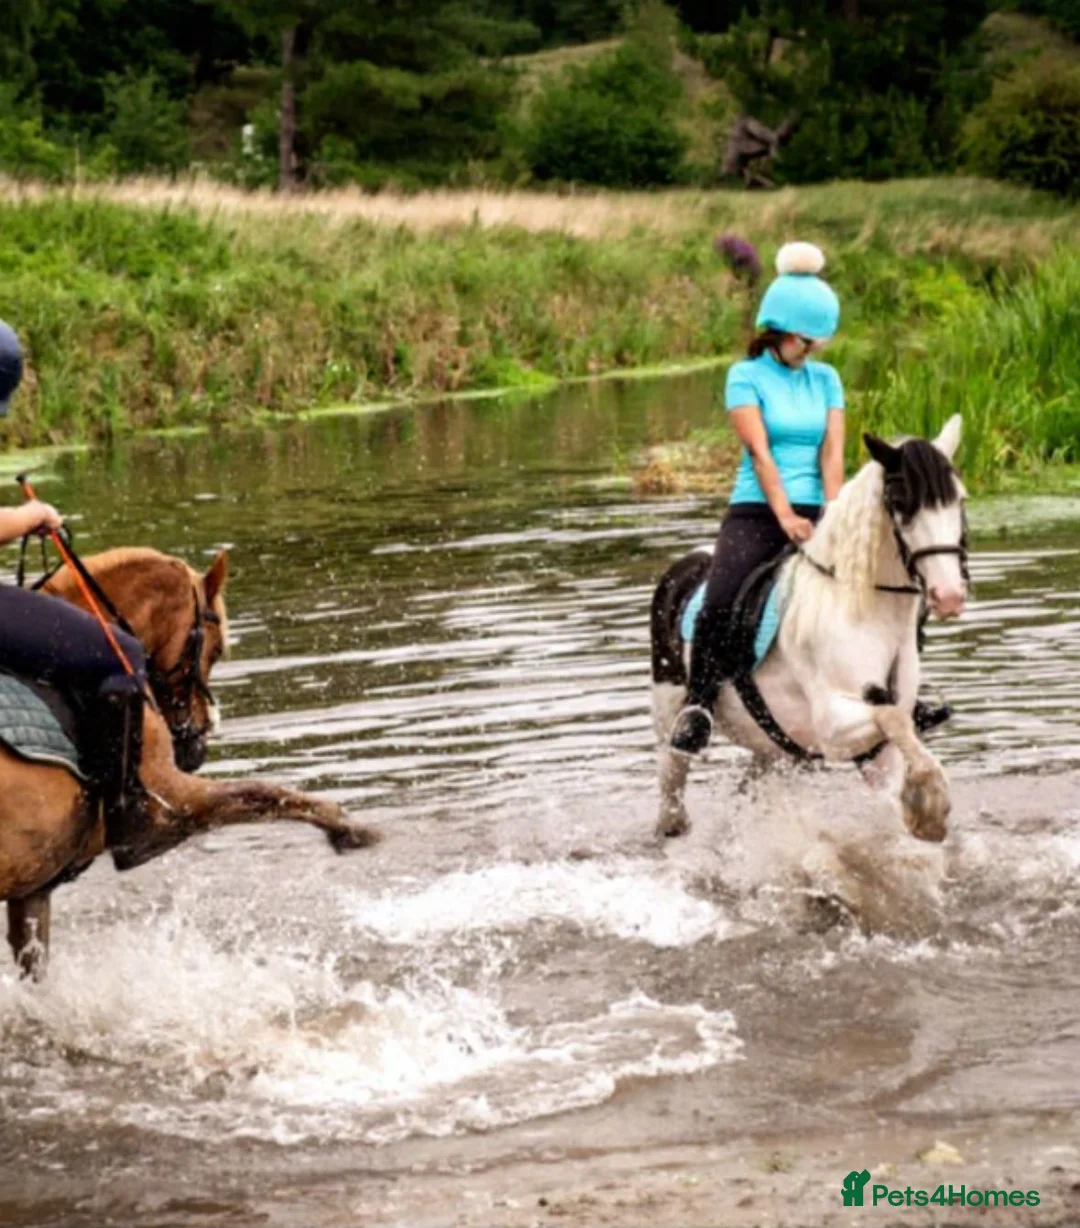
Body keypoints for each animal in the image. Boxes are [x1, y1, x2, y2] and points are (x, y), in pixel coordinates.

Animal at [3, 547, 375, 980]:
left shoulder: (33, 887)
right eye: (215, 650)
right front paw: (349, 828)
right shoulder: (175, 797)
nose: (196, 743)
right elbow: (263, 794)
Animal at [650, 416, 968, 844]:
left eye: (959, 501)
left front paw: (920, 812)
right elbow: (893, 718)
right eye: (902, 504)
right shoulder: (831, 725)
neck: (866, 609)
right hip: (670, 711)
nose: (949, 594)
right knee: (673, 782)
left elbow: (898, 742)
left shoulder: (876, 748)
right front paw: (931, 804)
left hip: (771, 746)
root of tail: (685, 564)